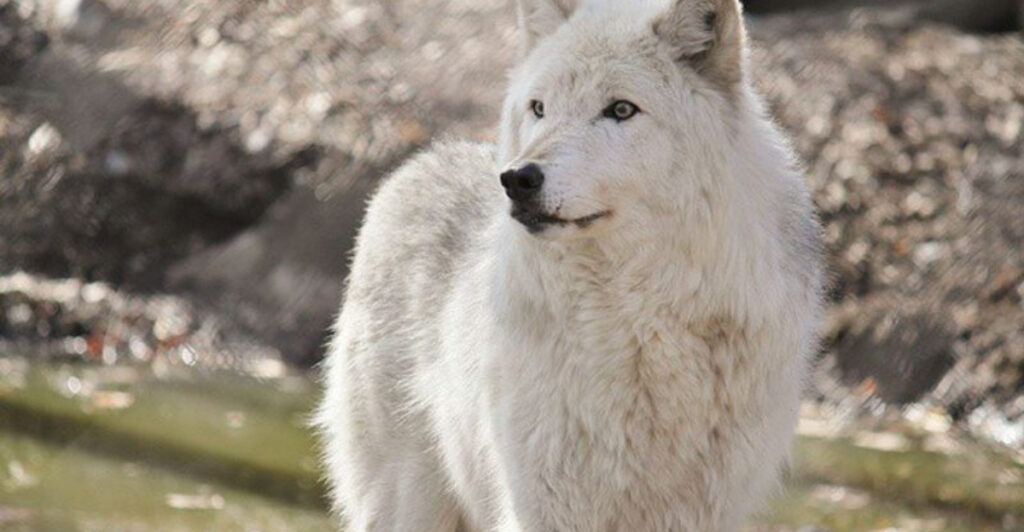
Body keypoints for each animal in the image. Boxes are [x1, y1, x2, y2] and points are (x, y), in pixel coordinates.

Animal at [315, 0, 824, 530]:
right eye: (539, 108)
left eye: (621, 109)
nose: (517, 179)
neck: (639, 326)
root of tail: (417, 162)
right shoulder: (546, 504)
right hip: (408, 500)